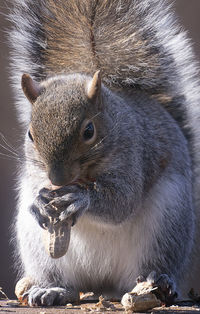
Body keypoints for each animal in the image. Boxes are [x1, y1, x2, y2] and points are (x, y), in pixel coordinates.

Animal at [9, 0, 200, 306]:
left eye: (89, 131)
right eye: (30, 134)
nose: (58, 179)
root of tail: (101, 285)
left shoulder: (134, 154)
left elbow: (122, 202)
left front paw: (81, 198)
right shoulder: (36, 172)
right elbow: (39, 189)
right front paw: (40, 201)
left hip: (167, 224)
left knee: (152, 266)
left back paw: (160, 283)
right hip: (38, 246)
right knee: (64, 282)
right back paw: (51, 289)